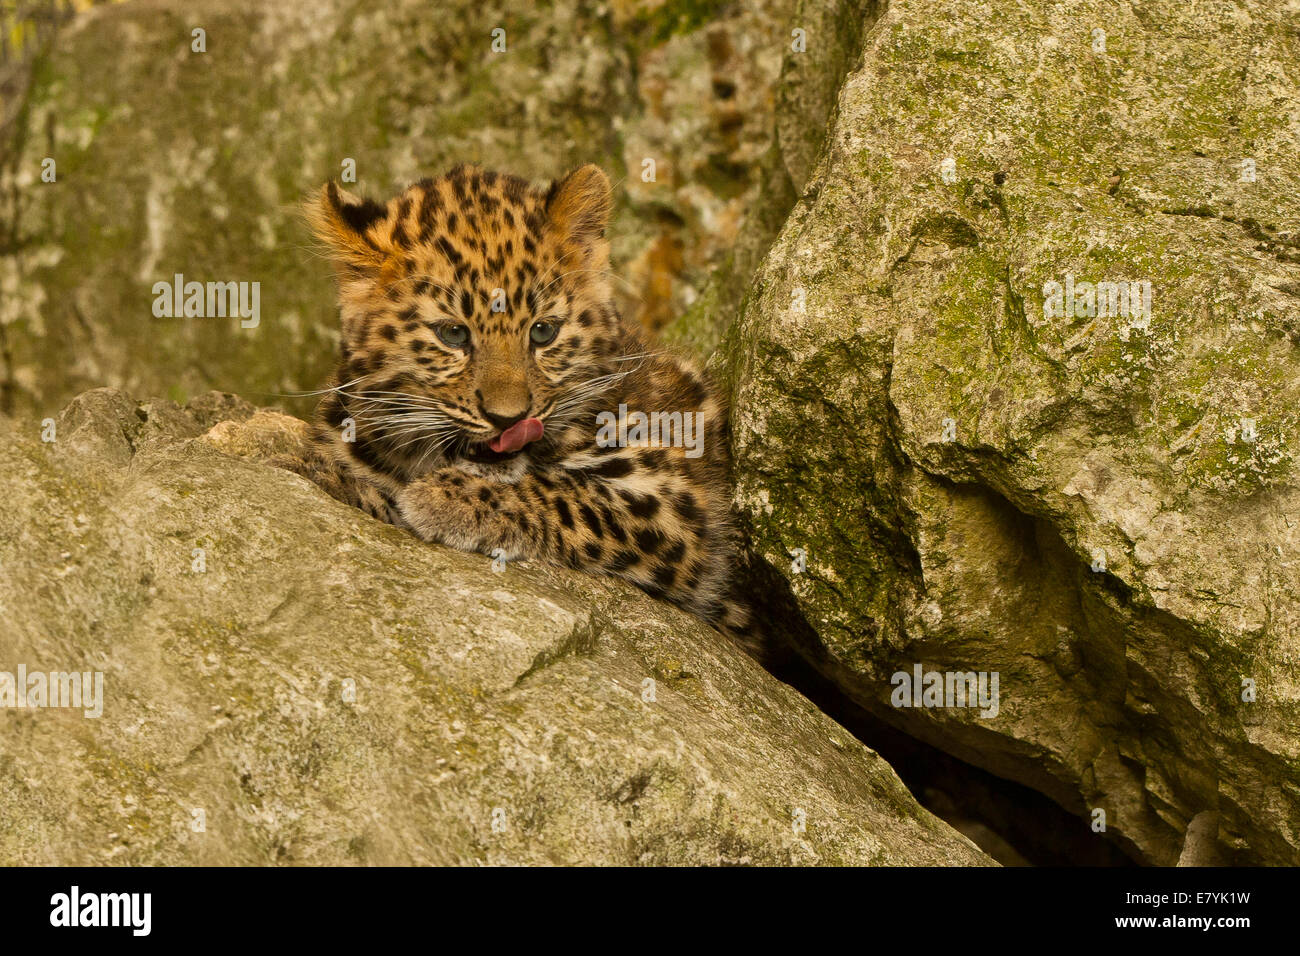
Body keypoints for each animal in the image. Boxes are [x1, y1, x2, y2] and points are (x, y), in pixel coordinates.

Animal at [279, 162, 761, 654]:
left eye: (543, 332)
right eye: (453, 334)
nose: (509, 419)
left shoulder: (677, 503)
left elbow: (573, 495)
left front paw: (448, 498)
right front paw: (295, 455)